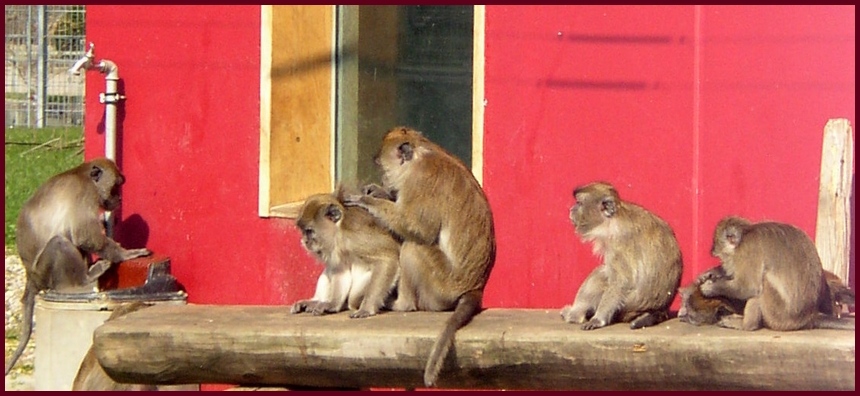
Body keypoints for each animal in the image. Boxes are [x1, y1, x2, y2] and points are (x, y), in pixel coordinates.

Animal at [5, 159, 151, 378]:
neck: (83, 174)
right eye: (116, 186)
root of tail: (31, 276)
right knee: (59, 242)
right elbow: (84, 234)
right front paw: (122, 254)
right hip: (44, 271)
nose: (119, 197)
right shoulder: (85, 193)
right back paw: (85, 279)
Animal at [290, 186, 402, 318]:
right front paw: (332, 304)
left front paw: (367, 308)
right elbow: (340, 270)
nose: (305, 241)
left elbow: (388, 259)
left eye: (309, 231)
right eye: (303, 231)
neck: (340, 231)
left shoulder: (358, 237)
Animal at [344, 126, 498, 386]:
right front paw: (378, 192)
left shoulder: (421, 181)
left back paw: (402, 305)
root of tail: (475, 287)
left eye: (381, 166)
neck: (421, 153)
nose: (384, 180)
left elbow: (419, 230)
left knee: (412, 247)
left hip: (441, 286)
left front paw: (367, 199)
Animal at [560, 183, 680, 332]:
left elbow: (621, 281)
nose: (571, 209)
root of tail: (659, 310)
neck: (613, 219)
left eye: (579, 203)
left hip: (627, 305)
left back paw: (574, 316)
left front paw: (598, 320)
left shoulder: (618, 243)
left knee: (602, 275)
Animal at [700, 217, 852, 332]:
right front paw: (713, 273)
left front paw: (711, 288)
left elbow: (748, 287)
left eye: (715, 243)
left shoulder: (749, 250)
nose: (711, 250)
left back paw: (746, 325)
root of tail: (809, 318)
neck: (746, 234)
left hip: (778, 315)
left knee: (762, 285)